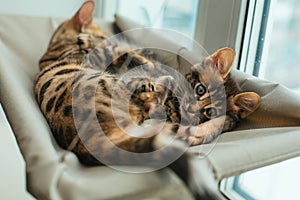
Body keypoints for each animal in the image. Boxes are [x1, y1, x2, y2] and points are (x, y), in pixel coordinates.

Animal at [35, 1, 260, 198]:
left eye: (210, 112)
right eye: (200, 89)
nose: (192, 109)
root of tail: (90, 139)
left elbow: (124, 52)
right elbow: (122, 51)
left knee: (151, 100)